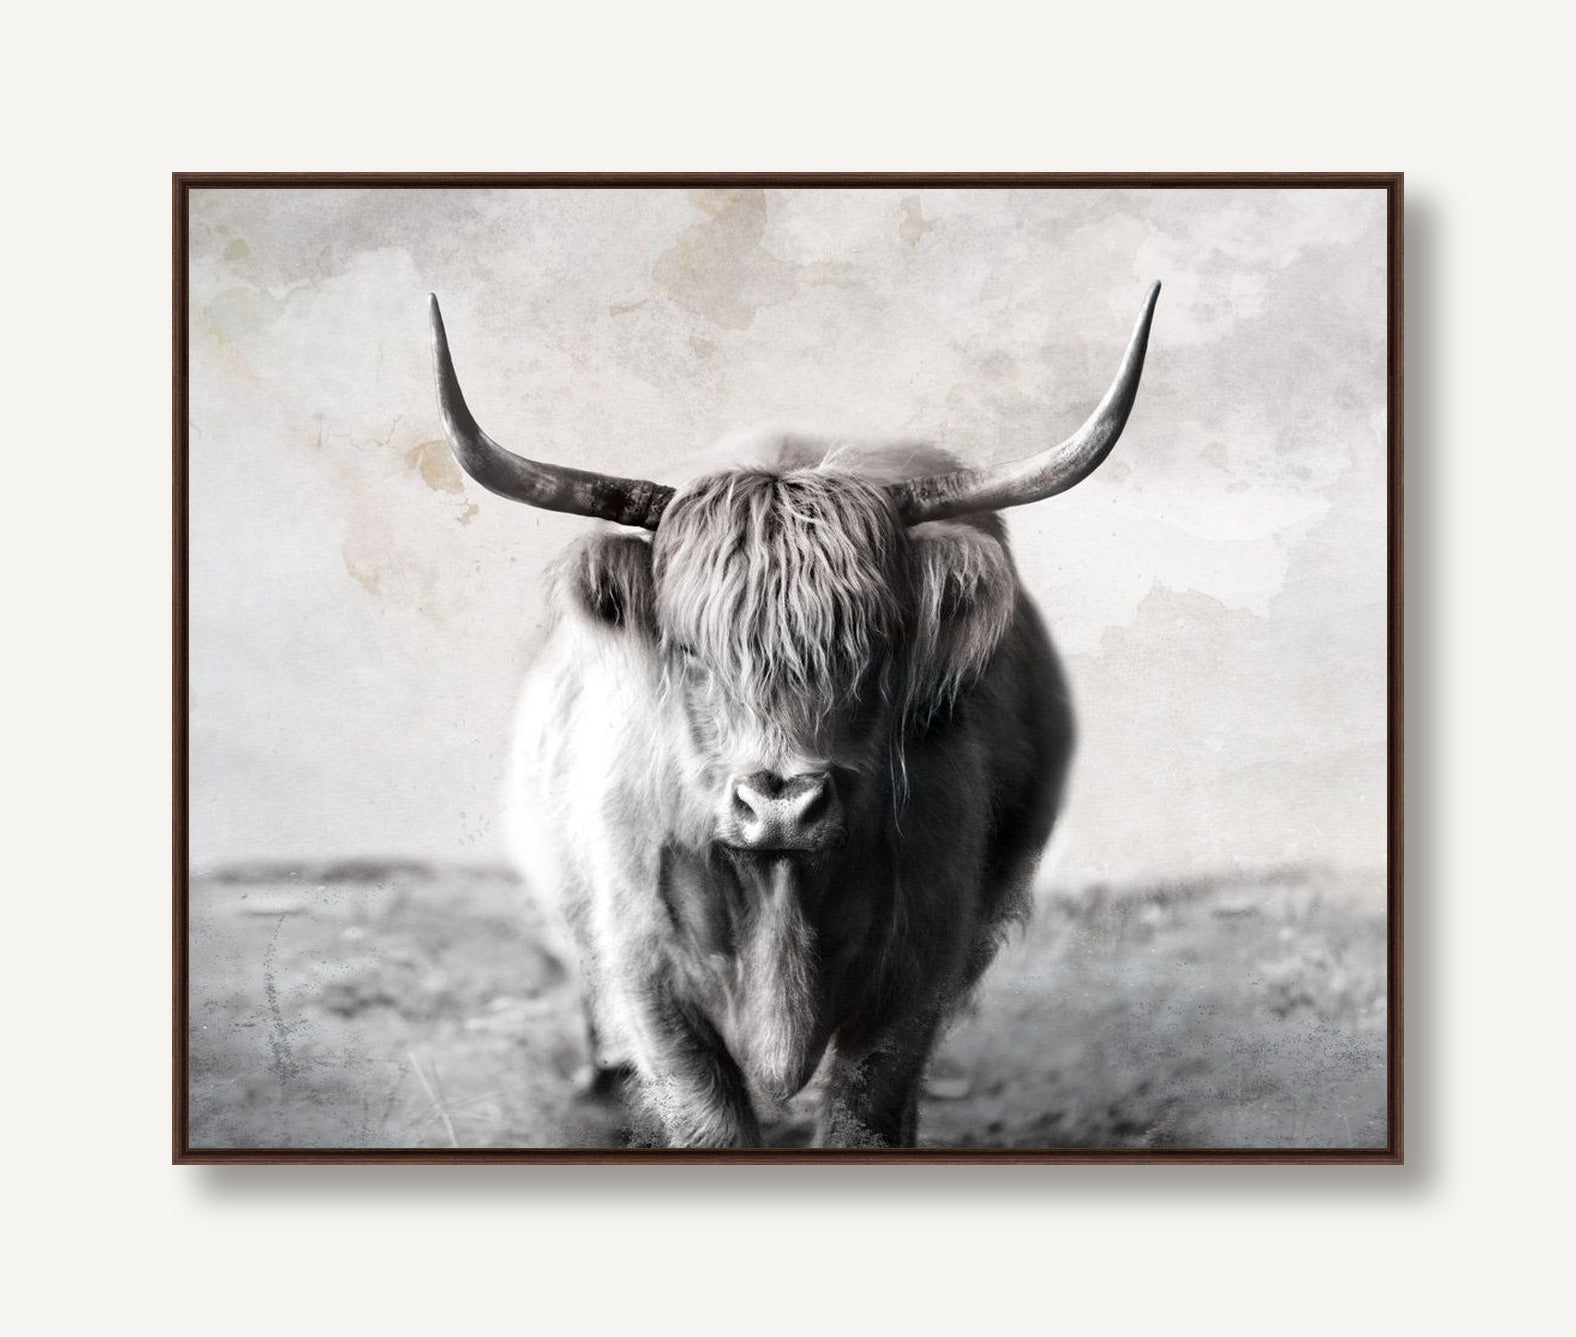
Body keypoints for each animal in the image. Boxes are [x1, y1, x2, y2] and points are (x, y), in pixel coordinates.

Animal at [427, 283, 1159, 1148]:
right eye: (689, 650)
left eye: (873, 651)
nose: (780, 803)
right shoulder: (646, 968)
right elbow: (706, 1112)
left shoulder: (921, 961)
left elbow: (866, 1107)